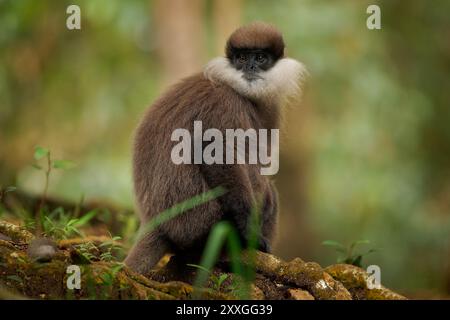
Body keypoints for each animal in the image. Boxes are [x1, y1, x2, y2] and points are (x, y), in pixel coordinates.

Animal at [124, 21, 306, 276]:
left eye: (260, 58)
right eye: (241, 58)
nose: (250, 66)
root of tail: (157, 223)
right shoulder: (225, 102)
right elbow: (214, 152)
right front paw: (251, 233)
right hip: (200, 220)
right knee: (264, 186)